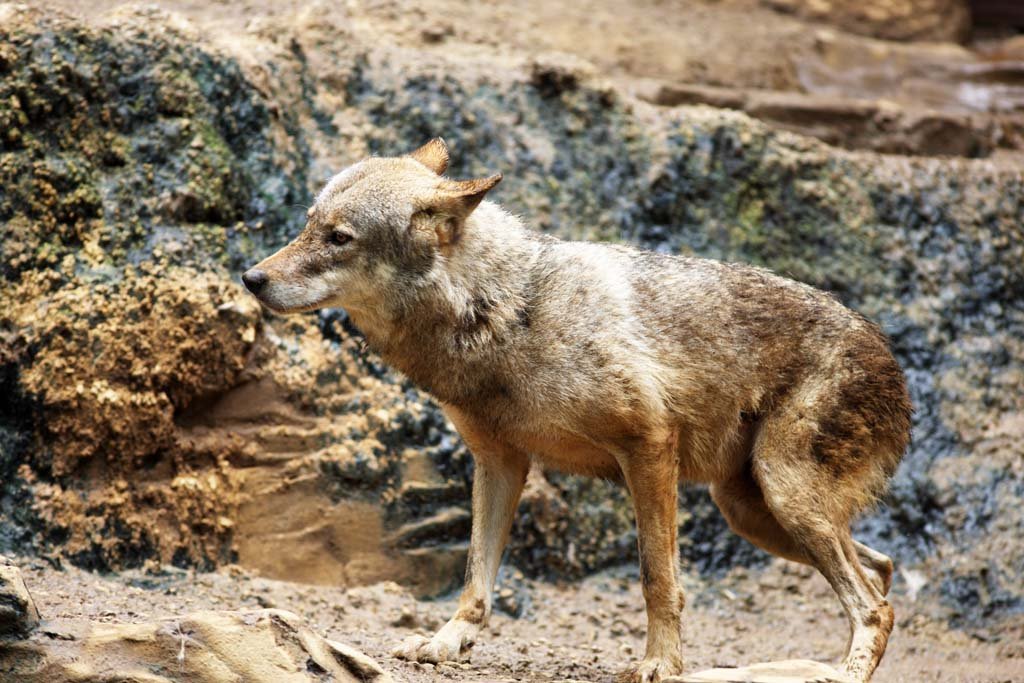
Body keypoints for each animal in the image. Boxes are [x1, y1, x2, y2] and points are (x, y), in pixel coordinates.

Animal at [242, 138, 912, 683]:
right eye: (307, 225)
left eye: (339, 238)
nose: (250, 278)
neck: (504, 310)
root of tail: (892, 359)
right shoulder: (500, 463)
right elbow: (475, 578)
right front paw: (446, 643)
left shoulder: (649, 447)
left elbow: (658, 579)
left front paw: (660, 664)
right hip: (753, 512)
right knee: (882, 572)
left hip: (781, 497)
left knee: (873, 605)